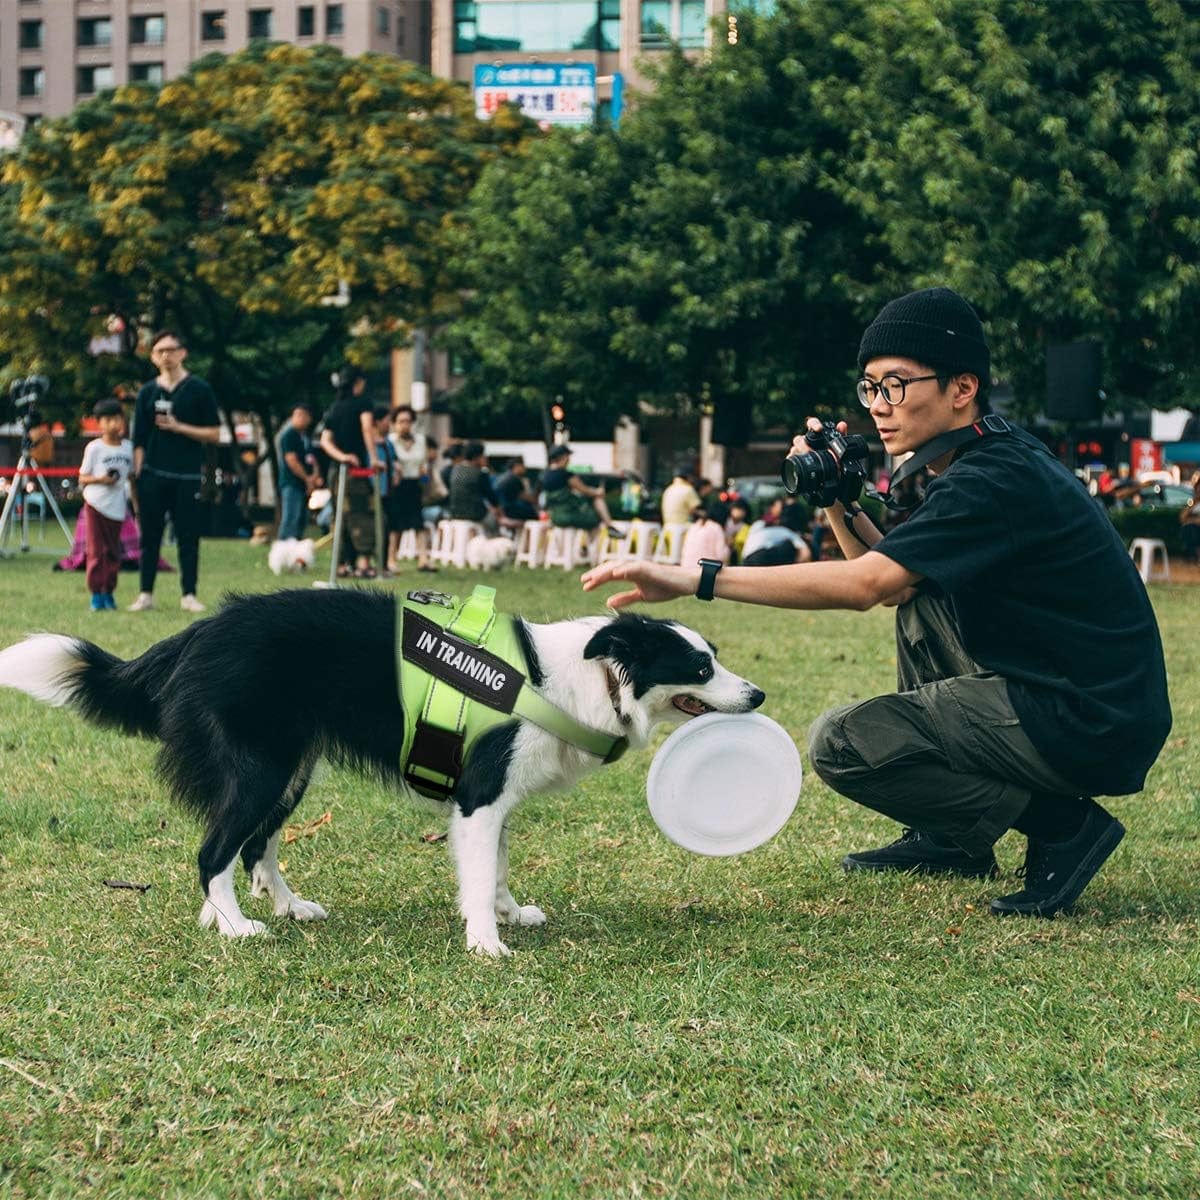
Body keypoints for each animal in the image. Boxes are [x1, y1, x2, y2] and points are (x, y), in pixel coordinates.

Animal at [0, 588, 763, 955]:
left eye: (717, 657)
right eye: (700, 669)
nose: (757, 696)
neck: (578, 678)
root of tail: (199, 631)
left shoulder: (498, 800)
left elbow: (500, 865)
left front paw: (510, 913)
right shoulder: (480, 795)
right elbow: (479, 873)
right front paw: (485, 940)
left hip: (292, 768)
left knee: (254, 843)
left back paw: (274, 908)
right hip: (264, 764)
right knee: (214, 848)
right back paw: (237, 927)